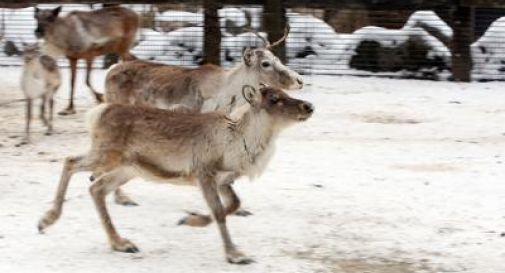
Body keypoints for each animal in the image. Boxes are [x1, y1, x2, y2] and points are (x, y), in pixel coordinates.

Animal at [39, 85, 314, 264]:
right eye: (275, 99)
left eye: (285, 92)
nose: (308, 106)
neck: (238, 144)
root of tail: (98, 113)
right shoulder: (204, 172)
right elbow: (219, 212)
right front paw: (235, 254)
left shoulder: (223, 179)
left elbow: (234, 204)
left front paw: (189, 220)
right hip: (106, 154)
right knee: (70, 162)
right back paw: (47, 219)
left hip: (128, 169)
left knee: (96, 188)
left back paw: (121, 243)